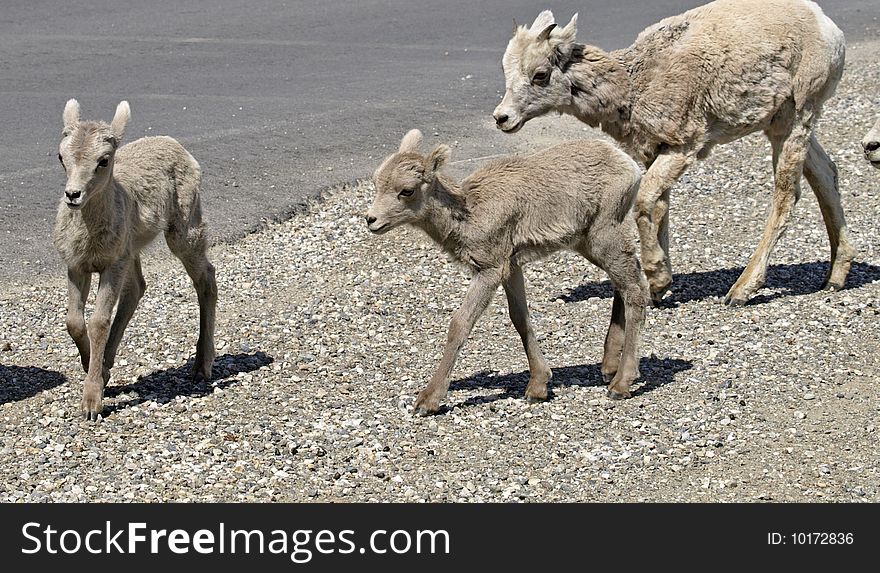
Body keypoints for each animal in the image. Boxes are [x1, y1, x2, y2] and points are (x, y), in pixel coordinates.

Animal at [53, 99, 217, 420]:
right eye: (61, 156)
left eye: (103, 160)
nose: (73, 195)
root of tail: (176, 145)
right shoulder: (77, 265)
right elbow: (74, 322)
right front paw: (93, 367)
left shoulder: (112, 264)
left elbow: (99, 322)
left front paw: (91, 403)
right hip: (132, 251)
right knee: (137, 289)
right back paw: (107, 367)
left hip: (183, 228)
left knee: (206, 277)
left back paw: (201, 366)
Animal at [364, 129, 648, 414]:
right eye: (376, 182)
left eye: (407, 190)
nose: (371, 220)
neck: (469, 215)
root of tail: (629, 165)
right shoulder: (511, 266)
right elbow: (520, 318)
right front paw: (537, 387)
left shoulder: (489, 270)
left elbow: (460, 323)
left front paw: (428, 400)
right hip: (587, 243)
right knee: (623, 284)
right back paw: (608, 369)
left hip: (604, 235)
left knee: (635, 290)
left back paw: (620, 384)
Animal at [498, 0, 856, 306]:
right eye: (507, 72)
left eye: (540, 74)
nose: (502, 118)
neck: (635, 83)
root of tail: (827, 26)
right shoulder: (654, 151)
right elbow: (660, 207)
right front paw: (659, 288)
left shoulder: (685, 146)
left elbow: (645, 201)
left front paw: (657, 279)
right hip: (779, 123)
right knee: (826, 174)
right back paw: (834, 279)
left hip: (799, 116)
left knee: (787, 195)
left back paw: (740, 291)